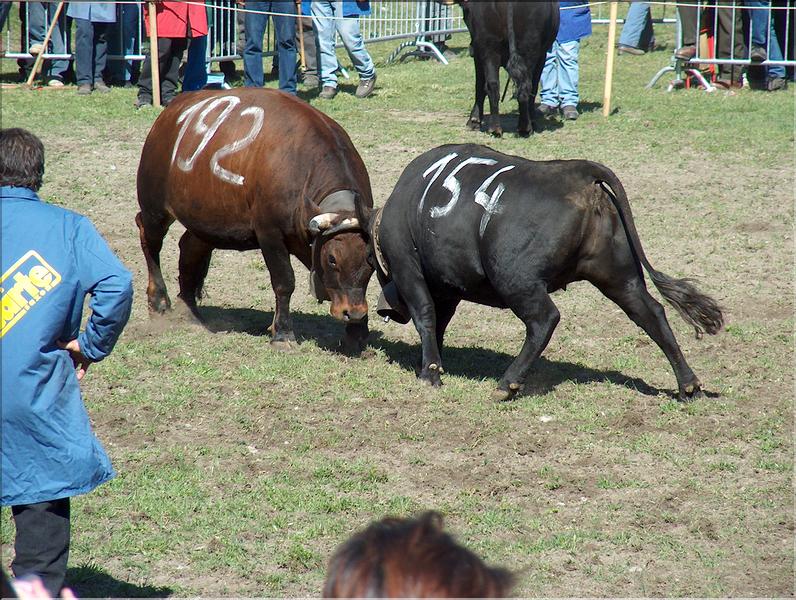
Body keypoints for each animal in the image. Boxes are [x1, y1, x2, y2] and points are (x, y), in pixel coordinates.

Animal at [135, 89, 374, 352]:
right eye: (332, 259)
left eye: (370, 260)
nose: (353, 313)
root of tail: (172, 109)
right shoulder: (270, 235)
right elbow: (284, 281)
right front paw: (283, 333)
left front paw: (358, 331)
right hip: (154, 207)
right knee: (149, 239)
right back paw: (158, 301)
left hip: (204, 220)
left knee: (189, 248)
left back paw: (188, 309)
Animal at [358, 143, 724, 400]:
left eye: (373, 264)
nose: (385, 309)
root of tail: (579, 172)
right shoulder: (447, 287)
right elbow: (440, 323)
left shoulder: (408, 269)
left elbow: (426, 316)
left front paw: (430, 372)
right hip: (620, 278)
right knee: (651, 313)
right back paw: (688, 384)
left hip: (516, 281)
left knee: (544, 320)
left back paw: (507, 383)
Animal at [460, 0, 560, 137]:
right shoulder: (542, 55)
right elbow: (534, 87)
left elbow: (480, 85)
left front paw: (474, 121)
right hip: (529, 46)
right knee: (526, 85)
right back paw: (525, 127)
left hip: (488, 46)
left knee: (492, 84)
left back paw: (495, 128)